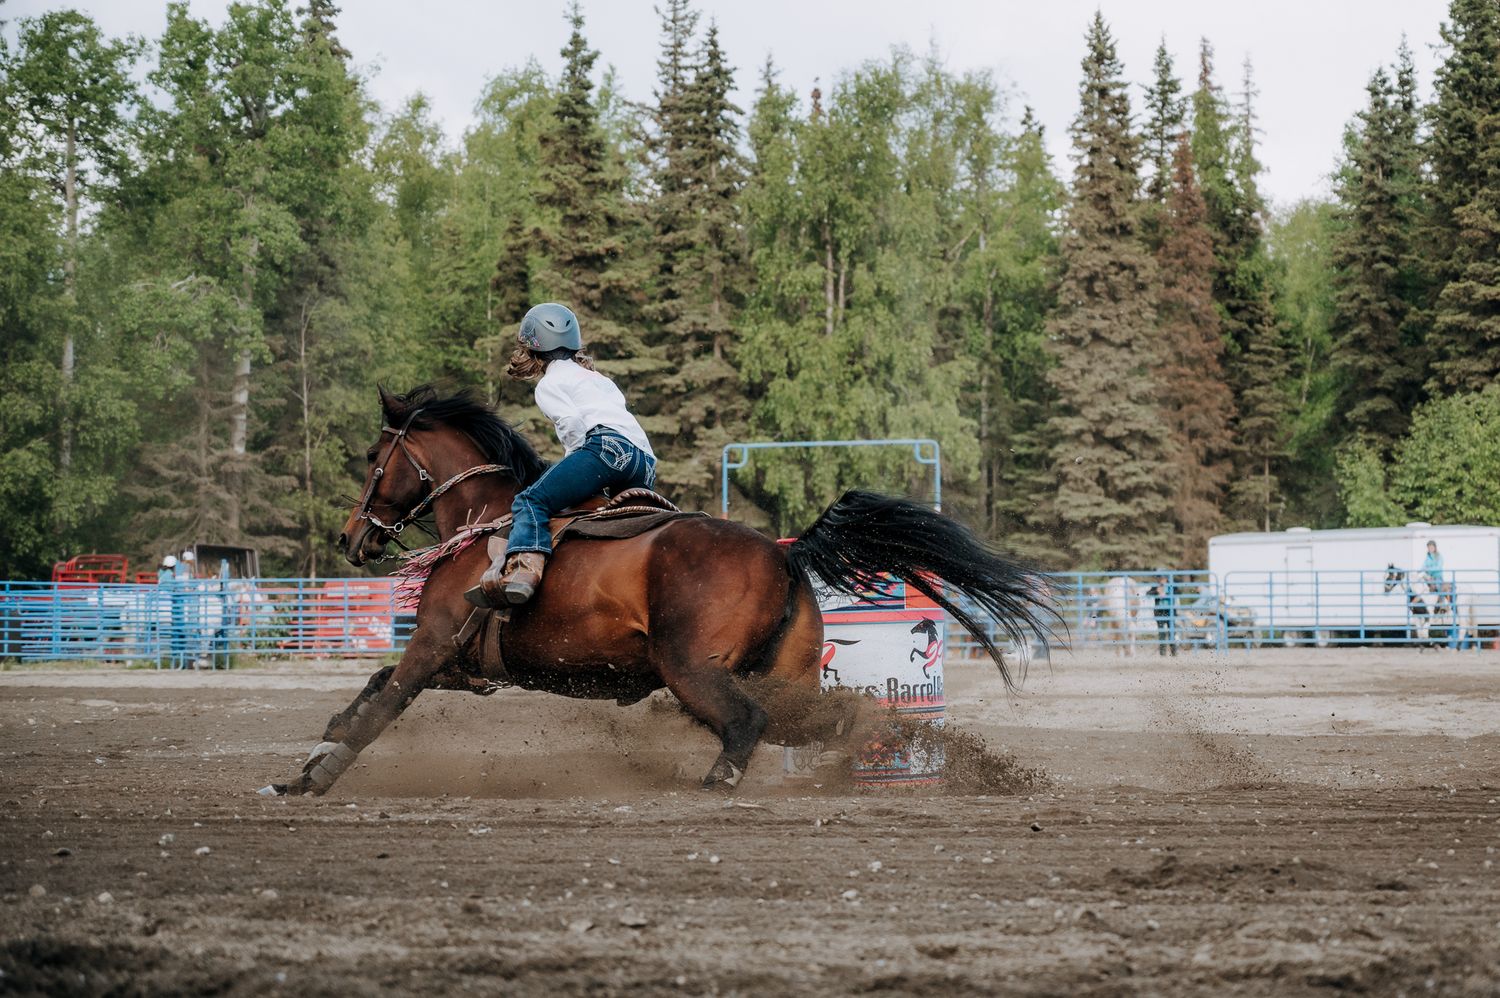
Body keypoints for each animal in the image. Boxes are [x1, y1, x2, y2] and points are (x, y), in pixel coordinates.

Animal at [264, 385, 1056, 797]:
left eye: (375, 455)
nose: (352, 537)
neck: (483, 519)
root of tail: (782, 553)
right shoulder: (466, 662)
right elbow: (373, 686)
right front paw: (327, 732)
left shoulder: (432, 645)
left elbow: (386, 703)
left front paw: (315, 774)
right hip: (783, 674)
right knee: (831, 720)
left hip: (691, 670)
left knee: (746, 724)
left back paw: (712, 790)